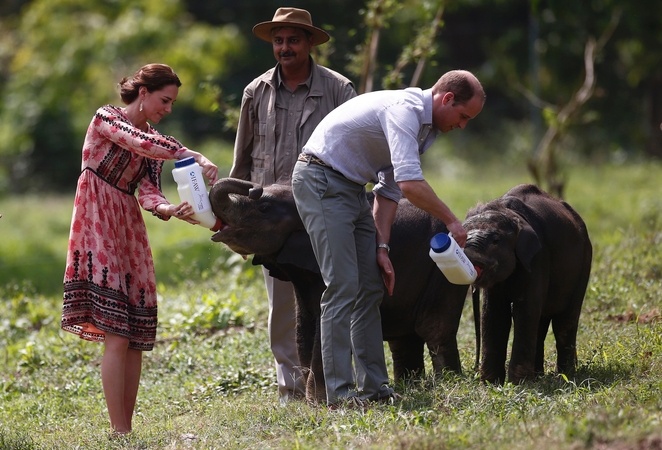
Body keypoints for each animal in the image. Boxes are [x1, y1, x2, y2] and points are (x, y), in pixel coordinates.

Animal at [464, 183, 592, 384]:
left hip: (583, 263)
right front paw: (491, 383)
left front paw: (518, 384)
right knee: (541, 321)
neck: (507, 212)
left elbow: (524, 310)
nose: (475, 369)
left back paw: (566, 375)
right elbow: (494, 313)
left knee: (564, 320)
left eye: (495, 241)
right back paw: (538, 376)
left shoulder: (538, 257)